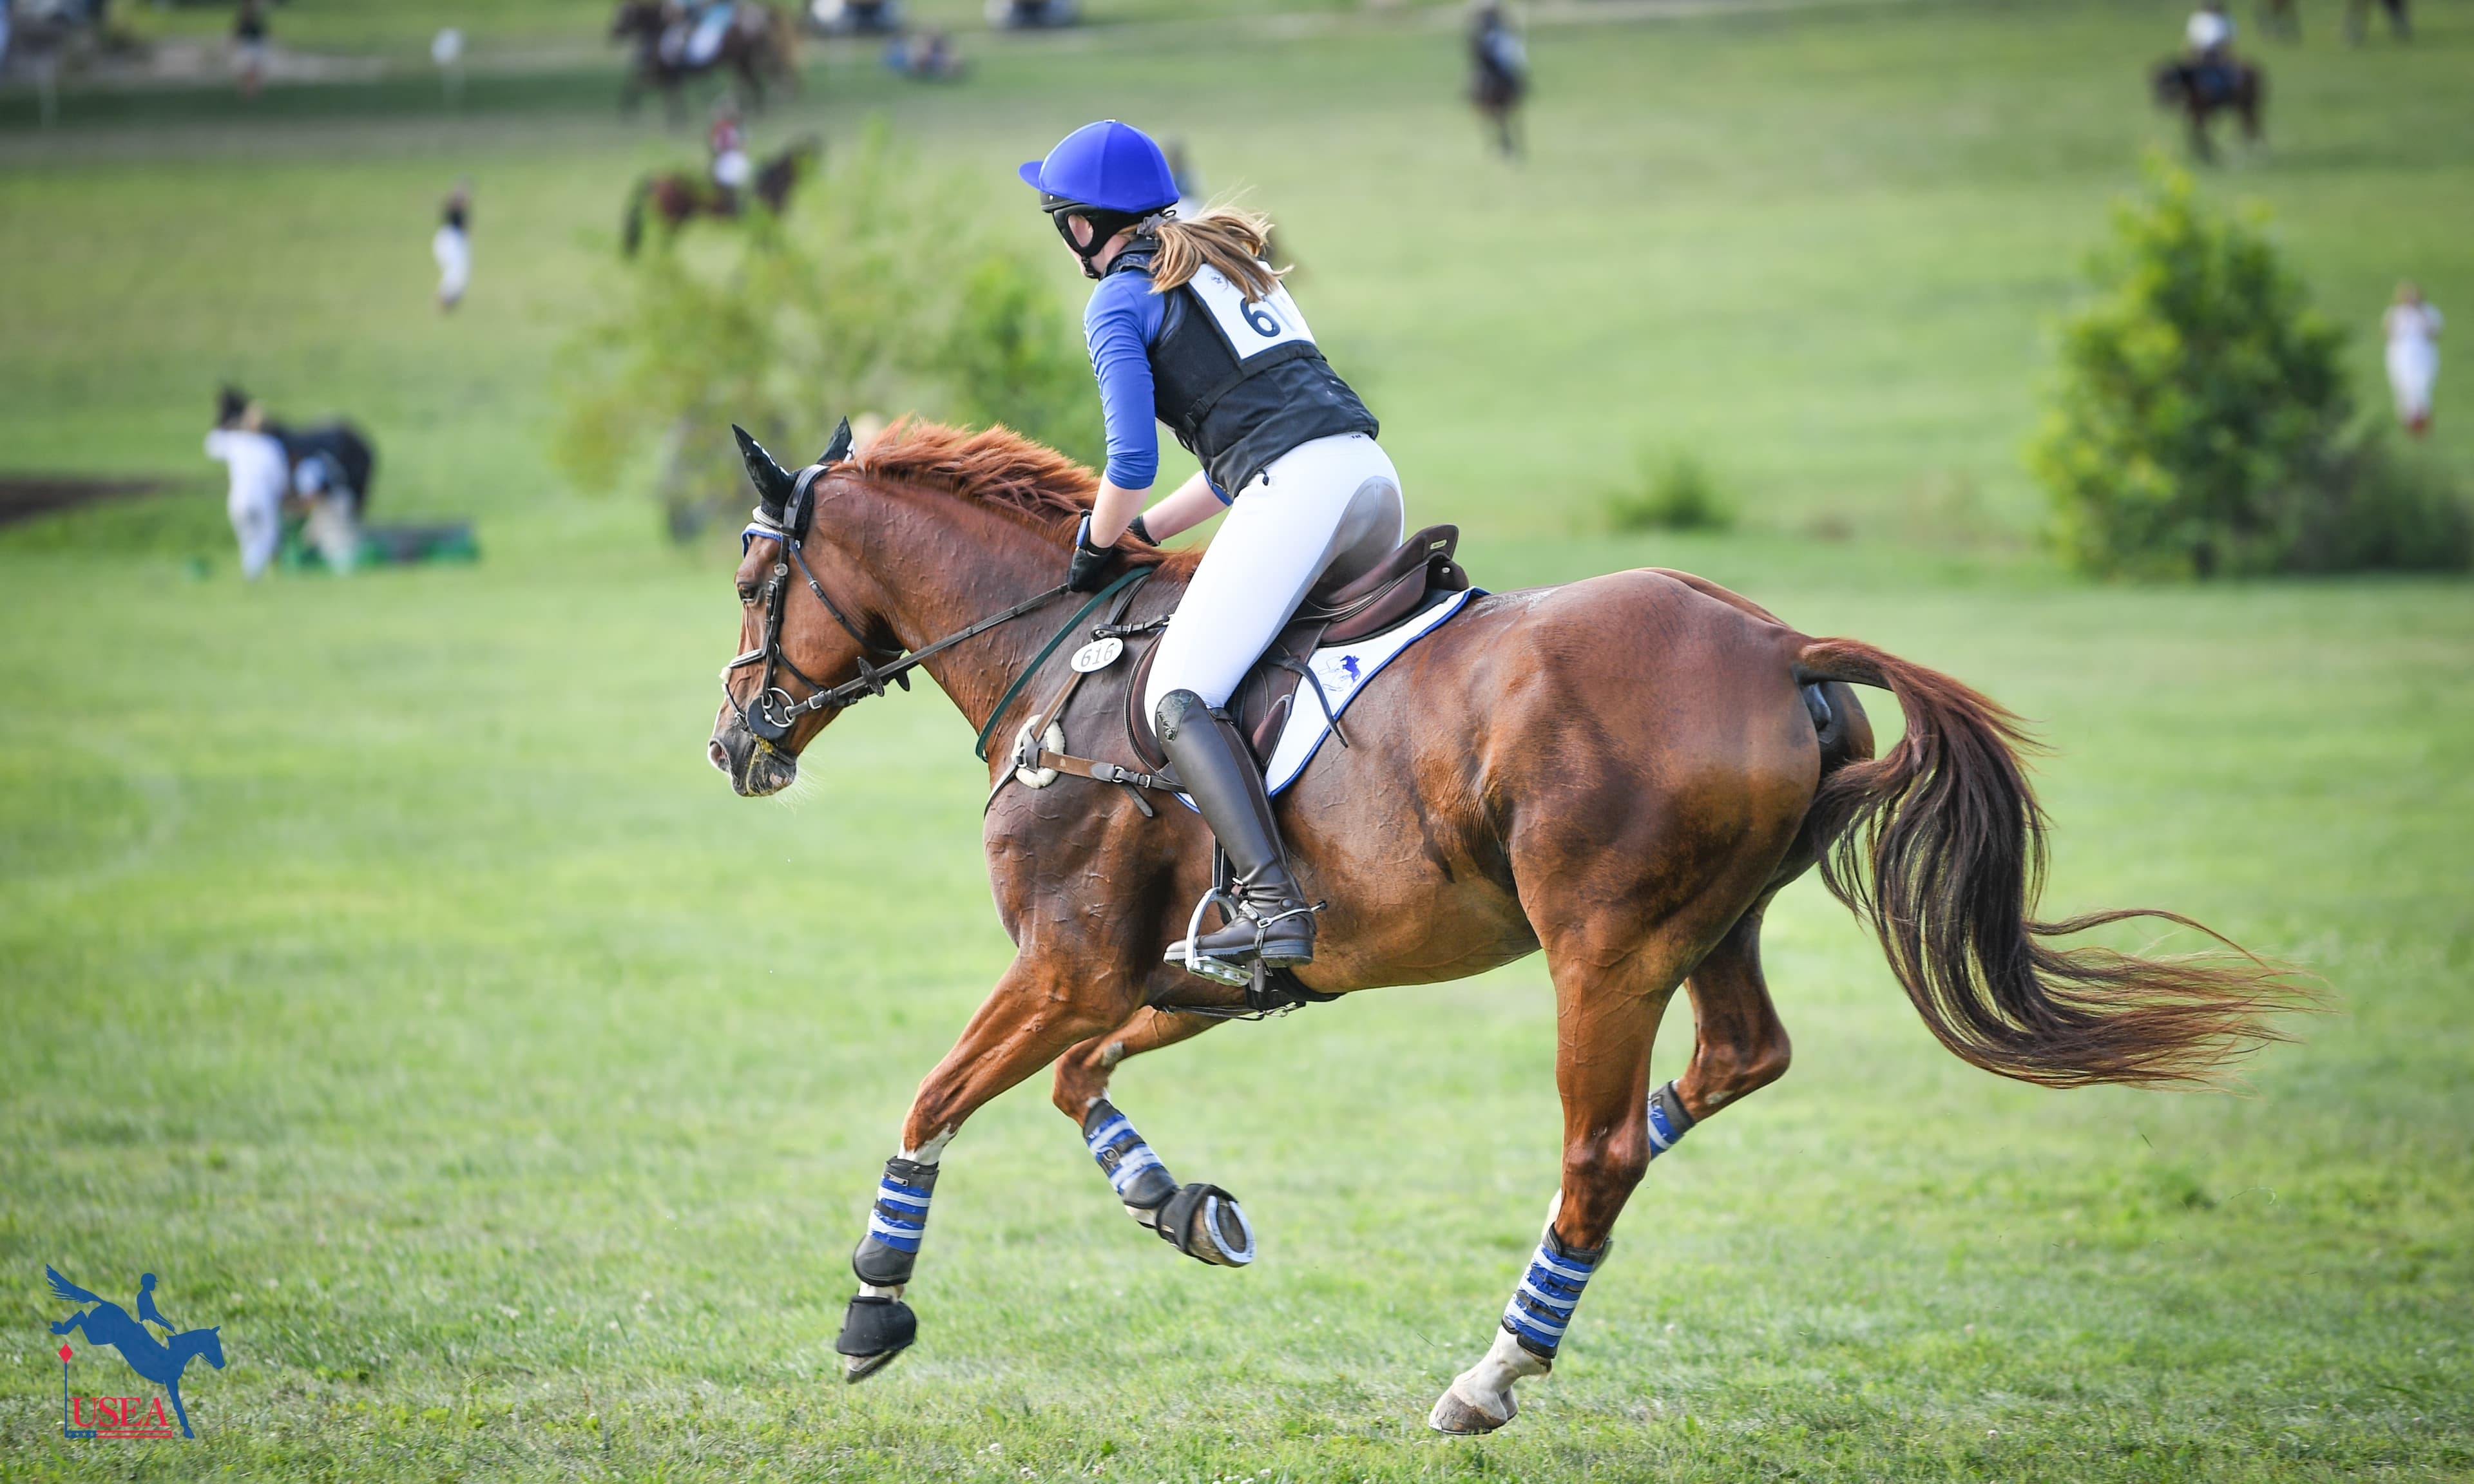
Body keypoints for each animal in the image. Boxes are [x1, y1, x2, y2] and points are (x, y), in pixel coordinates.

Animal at [48, 1302, 224, 1438]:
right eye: (213, 1344)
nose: (222, 1365)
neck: (176, 1352)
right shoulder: (170, 1381)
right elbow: (178, 1406)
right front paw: (188, 1431)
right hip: (98, 1337)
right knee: (80, 1315)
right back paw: (60, 1329)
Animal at [612, 0, 797, 121]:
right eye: (620, 15)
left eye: (625, 15)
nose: (612, 34)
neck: (659, 29)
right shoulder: (663, 75)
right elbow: (642, 89)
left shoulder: (666, 74)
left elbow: (666, 97)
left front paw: (677, 122)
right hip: (743, 62)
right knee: (756, 85)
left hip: (742, 62)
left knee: (757, 85)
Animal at [622, 136, 820, 256]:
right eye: (811, 157)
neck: (771, 180)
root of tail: (656, 177)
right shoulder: (766, 223)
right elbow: (769, 246)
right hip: (672, 221)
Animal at [704, 419, 2303, 1433]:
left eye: (752, 582)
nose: (733, 745)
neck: (1059, 658)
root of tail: (1776, 640)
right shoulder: (1177, 975)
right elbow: (1075, 1085)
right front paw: (1178, 1202)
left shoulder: (1065, 965)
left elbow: (934, 1100)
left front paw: (872, 1307)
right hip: (1709, 930)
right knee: (1730, 1067)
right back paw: (1559, 1249)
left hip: (1603, 949)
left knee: (1598, 1150)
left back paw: (1494, 1369)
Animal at [2152, 55, 2265, 161]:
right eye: (2158, 83)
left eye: (2169, 81)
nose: (2160, 101)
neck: (2193, 83)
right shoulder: (2193, 112)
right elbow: (2193, 131)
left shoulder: (2203, 113)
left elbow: (2199, 132)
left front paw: (2206, 154)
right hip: (2243, 107)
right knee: (2249, 125)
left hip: (2247, 105)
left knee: (2251, 125)